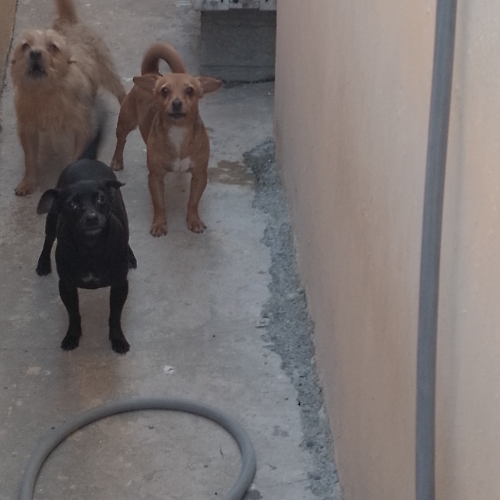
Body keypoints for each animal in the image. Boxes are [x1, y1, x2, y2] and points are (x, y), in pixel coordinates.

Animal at [10, 0, 125, 196]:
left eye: (53, 47)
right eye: (25, 46)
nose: (34, 53)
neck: (46, 93)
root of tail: (69, 21)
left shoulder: (82, 128)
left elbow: (77, 156)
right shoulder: (28, 130)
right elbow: (30, 159)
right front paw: (28, 182)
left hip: (108, 74)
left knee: (121, 90)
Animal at [35, 120, 137, 354]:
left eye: (100, 198)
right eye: (71, 204)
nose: (91, 218)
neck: (91, 248)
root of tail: (85, 159)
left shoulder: (120, 285)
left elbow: (114, 316)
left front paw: (117, 339)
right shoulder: (66, 286)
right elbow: (74, 315)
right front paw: (72, 336)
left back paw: (130, 255)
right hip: (51, 220)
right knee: (47, 240)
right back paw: (43, 263)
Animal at [110, 42, 222, 236]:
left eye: (190, 90)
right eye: (164, 91)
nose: (176, 103)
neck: (178, 132)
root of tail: (151, 73)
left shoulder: (200, 175)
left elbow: (193, 202)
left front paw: (194, 220)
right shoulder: (155, 177)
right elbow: (159, 204)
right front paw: (159, 224)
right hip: (126, 123)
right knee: (121, 140)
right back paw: (117, 160)